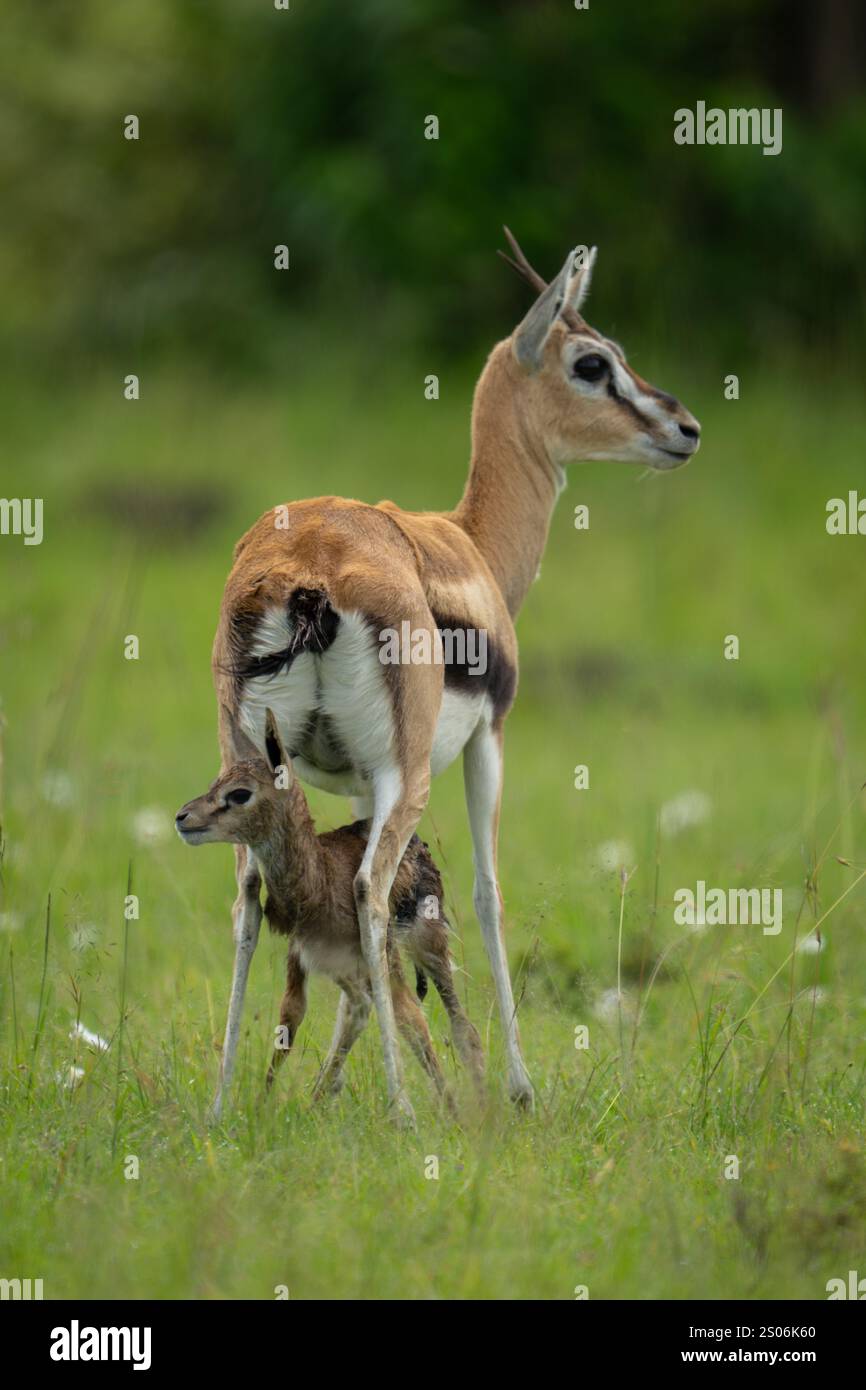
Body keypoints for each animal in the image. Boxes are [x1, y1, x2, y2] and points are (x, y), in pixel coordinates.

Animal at [176, 709, 485, 1107]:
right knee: (357, 1011)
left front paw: (451, 1111)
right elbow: (289, 1021)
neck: (320, 879)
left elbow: (410, 1020)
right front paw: (262, 1104)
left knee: (461, 1026)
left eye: (240, 793)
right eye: (218, 781)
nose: (183, 817)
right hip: (351, 970)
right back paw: (320, 1093)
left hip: (427, 947)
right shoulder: (304, 954)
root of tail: (421, 845)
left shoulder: (381, 955)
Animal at [209, 230, 701, 1125]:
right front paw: (518, 1086)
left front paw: (335, 1084)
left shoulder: (342, 787)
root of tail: (307, 571)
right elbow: (486, 895)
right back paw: (406, 1109)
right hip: (405, 775)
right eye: (592, 363)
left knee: (247, 904)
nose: (684, 428)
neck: (469, 544)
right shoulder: (486, 744)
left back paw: (225, 1106)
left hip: (247, 771)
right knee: (369, 889)